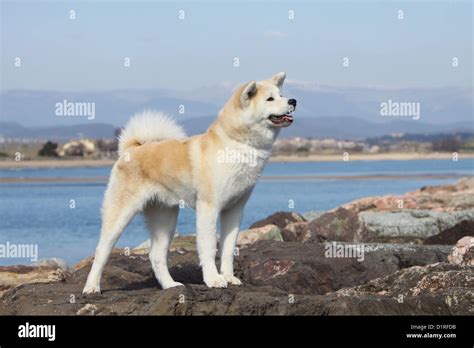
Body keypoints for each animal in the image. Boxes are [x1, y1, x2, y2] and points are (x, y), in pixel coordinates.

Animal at [82, 72, 296, 292]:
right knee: (102, 250)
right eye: (270, 99)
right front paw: (214, 279)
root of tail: (131, 149)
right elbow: (209, 248)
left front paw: (229, 277)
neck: (238, 145)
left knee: (156, 256)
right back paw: (92, 287)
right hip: (120, 213)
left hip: (165, 217)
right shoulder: (209, 207)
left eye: (282, 94)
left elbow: (228, 249)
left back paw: (170, 285)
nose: (293, 101)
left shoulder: (234, 209)